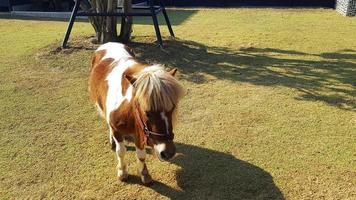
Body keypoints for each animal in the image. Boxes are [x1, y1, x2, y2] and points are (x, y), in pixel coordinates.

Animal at [88, 42, 185, 184]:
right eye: (147, 112)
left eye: (172, 109)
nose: (168, 153)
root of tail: (110, 43)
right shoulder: (117, 130)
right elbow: (121, 151)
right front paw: (122, 172)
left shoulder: (140, 132)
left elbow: (141, 155)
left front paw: (145, 174)